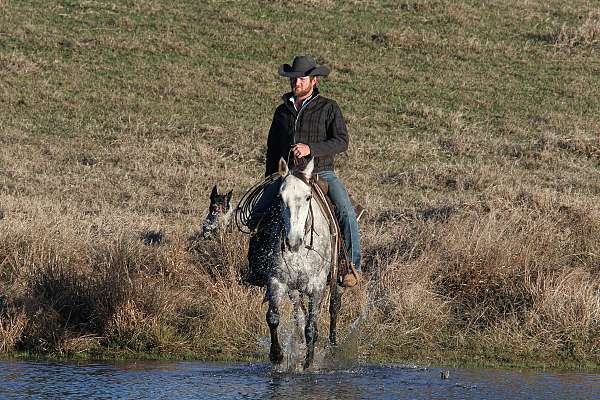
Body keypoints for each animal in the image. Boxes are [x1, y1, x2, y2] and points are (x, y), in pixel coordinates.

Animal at [248, 158, 342, 370]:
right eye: (280, 197)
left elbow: (311, 327)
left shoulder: (317, 287)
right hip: (294, 289)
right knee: (298, 314)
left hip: (333, 278)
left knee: (334, 306)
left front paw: (308, 364)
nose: (293, 241)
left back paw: (332, 346)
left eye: (308, 197)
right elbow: (273, 318)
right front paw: (277, 356)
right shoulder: (276, 281)